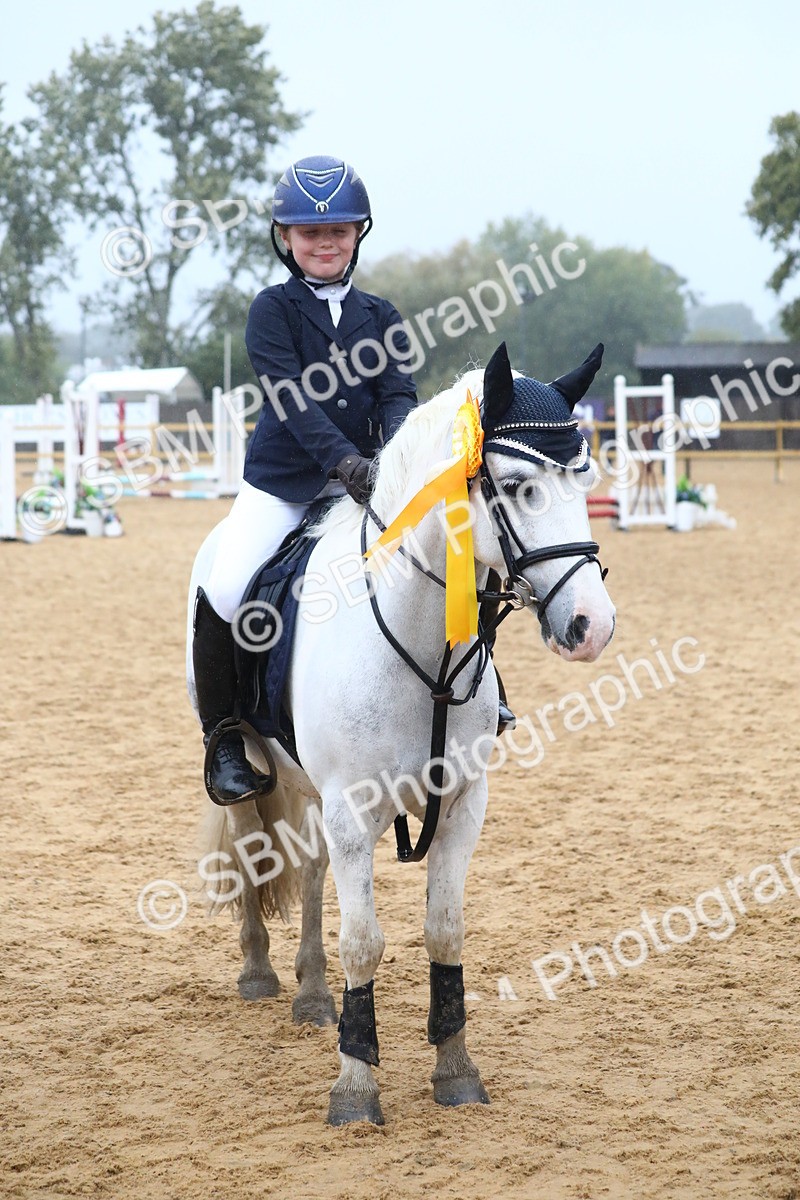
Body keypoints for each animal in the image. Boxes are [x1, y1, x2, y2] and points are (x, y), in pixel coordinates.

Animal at [187, 342, 616, 1125]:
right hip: (258, 764)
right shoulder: (353, 806)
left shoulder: (463, 802)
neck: (418, 638)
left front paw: (456, 1069)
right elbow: (364, 941)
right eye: (518, 487)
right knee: (254, 845)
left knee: (310, 870)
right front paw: (356, 1086)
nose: (591, 626)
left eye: (584, 479)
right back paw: (260, 970)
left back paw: (312, 994)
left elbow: (444, 929)